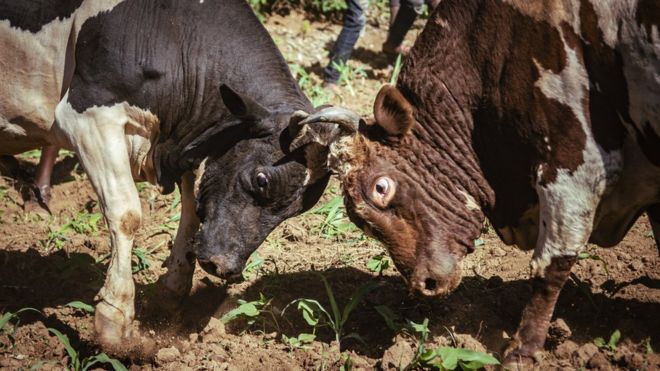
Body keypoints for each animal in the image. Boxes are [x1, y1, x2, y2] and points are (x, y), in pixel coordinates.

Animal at [1, 0, 360, 348]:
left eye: (296, 210)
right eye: (261, 180)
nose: (225, 268)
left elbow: (192, 212)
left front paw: (170, 294)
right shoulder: (87, 117)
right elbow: (126, 214)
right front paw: (115, 324)